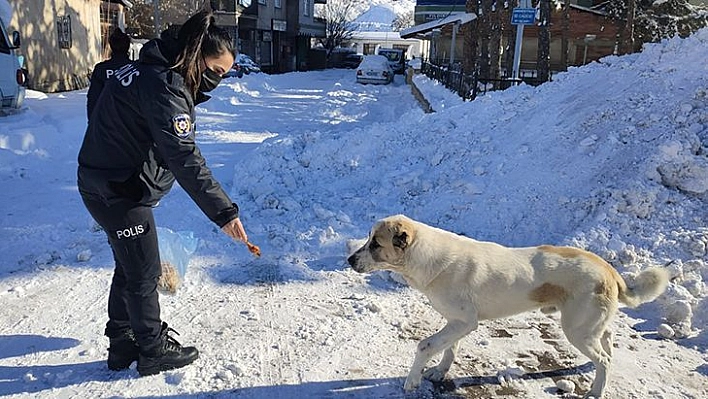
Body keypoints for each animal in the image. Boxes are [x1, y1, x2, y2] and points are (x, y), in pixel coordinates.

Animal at [348, 216, 668, 399]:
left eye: (375, 244)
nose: (349, 260)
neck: (425, 257)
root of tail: (608, 268)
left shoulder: (463, 322)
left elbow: (425, 346)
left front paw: (412, 381)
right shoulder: (458, 322)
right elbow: (449, 348)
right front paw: (440, 372)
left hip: (576, 329)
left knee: (605, 359)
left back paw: (596, 390)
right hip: (589, 325)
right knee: (608, 340)